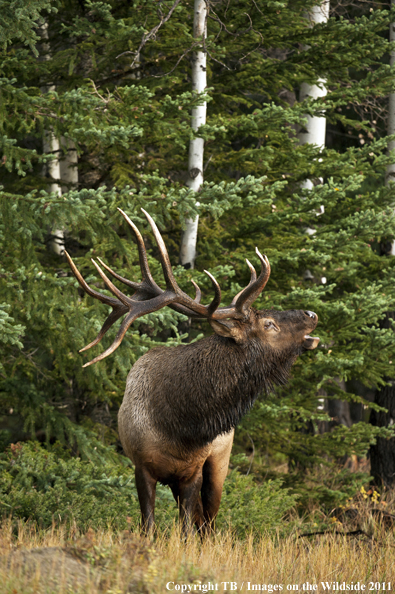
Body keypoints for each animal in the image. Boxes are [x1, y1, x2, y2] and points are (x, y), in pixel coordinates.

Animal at [65, 210, 318, 536]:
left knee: (208, 521)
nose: (311, 314)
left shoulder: (193, 471)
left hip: (220, 461)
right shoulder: (141, 467)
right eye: (269, 324)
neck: (180, 426)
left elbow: (186, 530)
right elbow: (149, 526)